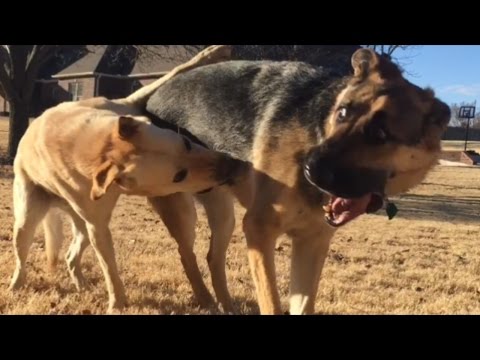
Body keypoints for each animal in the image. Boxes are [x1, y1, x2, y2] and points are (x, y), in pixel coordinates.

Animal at [7, 45, 240, 312]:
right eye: (178, 176)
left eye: (186, 142)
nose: (231, 167)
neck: (102, 147)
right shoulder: (99, 227)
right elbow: (110, 268)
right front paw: (117, 303)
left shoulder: (130, 102)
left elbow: (174, 71)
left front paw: (212, 54)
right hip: (28, 217)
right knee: (22, 254)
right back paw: (15, 285)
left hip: (83, 227)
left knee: (71, 255)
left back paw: (81, 285)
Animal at [145, 48, 450, 316]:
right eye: (342, 113)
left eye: (380, 133)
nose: (308, 168)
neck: (317, 129)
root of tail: (149, 101)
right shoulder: (259, 229)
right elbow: (271, 302)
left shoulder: (312, 243)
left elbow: (302, 304)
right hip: (182, 209)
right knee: (187, 254)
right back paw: (206, 301)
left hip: (223, 214)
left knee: (213, 257)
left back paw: (226, 306)